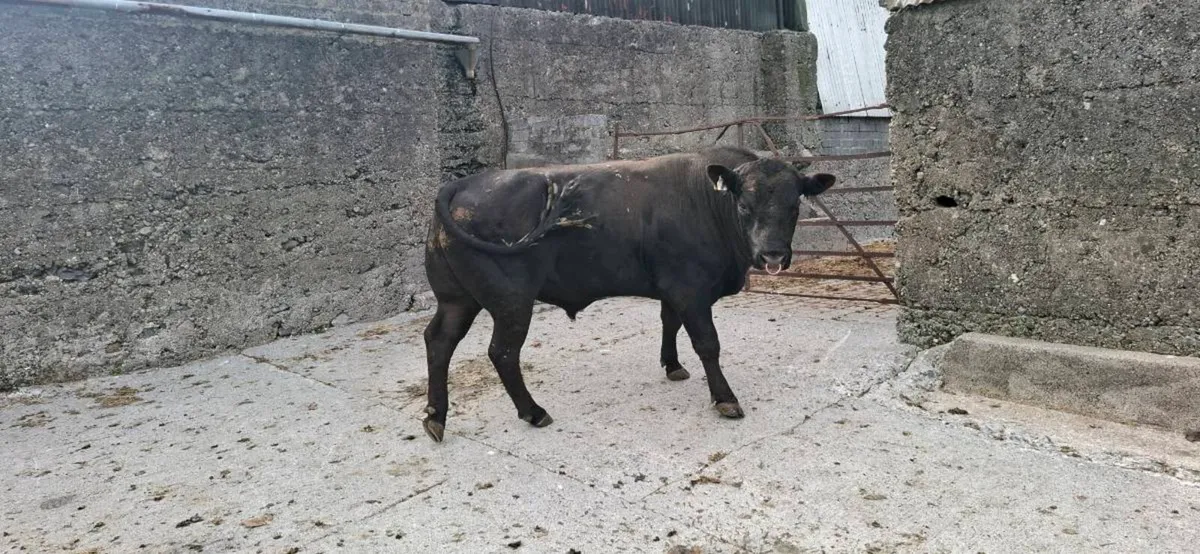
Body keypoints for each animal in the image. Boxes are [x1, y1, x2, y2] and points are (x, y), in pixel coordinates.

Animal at [421, 146, 836, 442]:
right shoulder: (692, 289)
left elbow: (669, 323)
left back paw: (436, 416)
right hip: (511, 302)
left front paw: (672, 365)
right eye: (745, 205)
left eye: (794, 205)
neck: (706, 201)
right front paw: (725, 399)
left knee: (439, 341)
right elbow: (708, 343)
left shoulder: (672, 288)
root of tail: (461, 184)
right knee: (502, 352)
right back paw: (533, 412)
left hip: (456, 299)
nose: (772, 255)